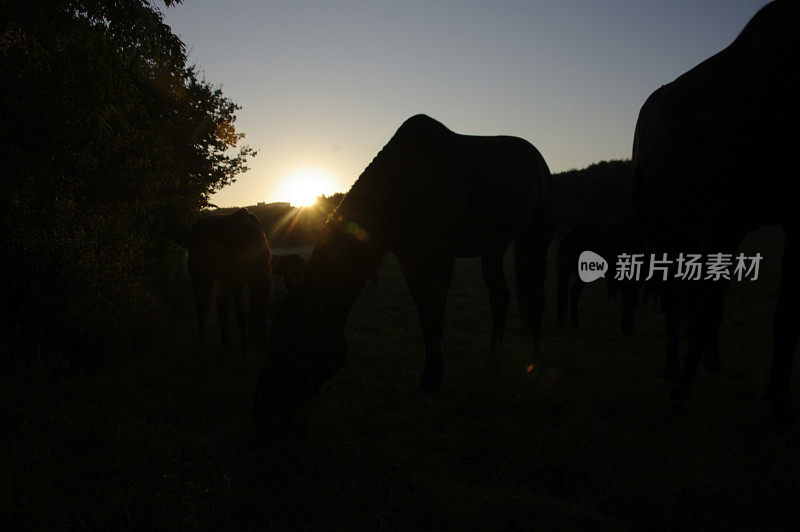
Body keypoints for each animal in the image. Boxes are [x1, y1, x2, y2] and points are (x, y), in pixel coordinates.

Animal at [189, 209, 274, 354]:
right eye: (258, 322)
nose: (264, 348)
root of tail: (196, 225)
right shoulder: (236, 282)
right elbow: (240, 315)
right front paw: (244, 348)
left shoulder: (235, 282)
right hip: (200, 276)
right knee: (202, 306)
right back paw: (201, 340)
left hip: (224, 282)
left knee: (220, 304)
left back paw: (226, 341)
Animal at [253, 114, 552, 418]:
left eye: (298, 340)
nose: (262, 407)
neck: (404, 184)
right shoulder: (410, 261)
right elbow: (426, 321)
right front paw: (430, 381)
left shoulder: (440, 260)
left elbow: (434, 321)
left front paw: (430, 385)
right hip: (493, 248)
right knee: (499, 296)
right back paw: (493, 359)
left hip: (536, 237)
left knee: (535, 292)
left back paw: (536, 356)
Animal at [636, 0, 796, 420]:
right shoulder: (725, 218)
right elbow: (706, 306)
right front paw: (682, 387)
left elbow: (784, 314)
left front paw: (779, 399)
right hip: (660, 225)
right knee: (675, 298)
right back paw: (673, 370)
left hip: (690, 231)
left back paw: (710, 361)